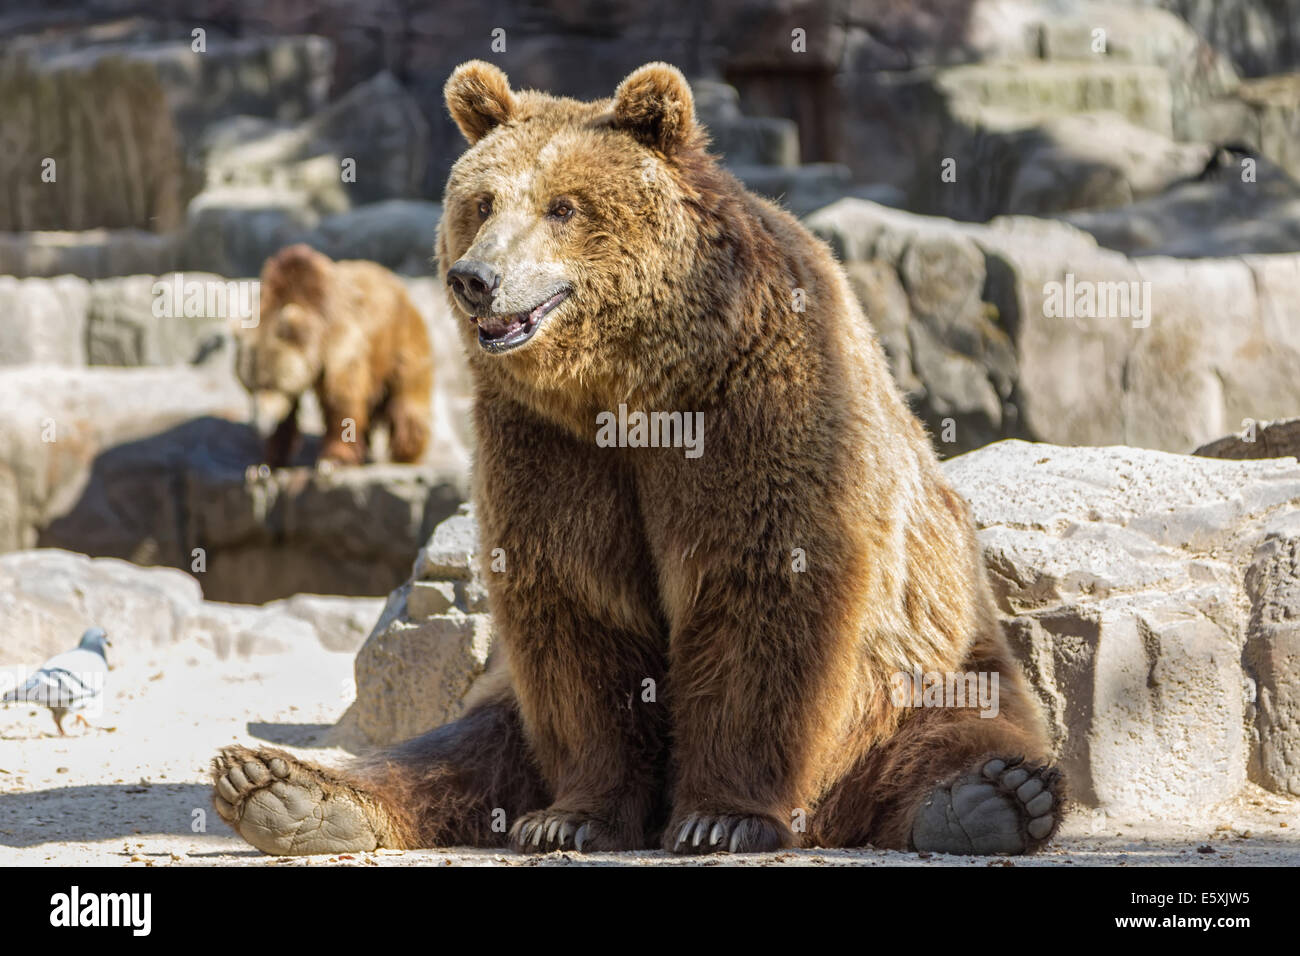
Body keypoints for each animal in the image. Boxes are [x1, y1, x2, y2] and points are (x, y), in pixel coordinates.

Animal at [235, 243, 434, 467]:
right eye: (249, 387)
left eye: (270, 384)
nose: (259, 426)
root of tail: (400, 286)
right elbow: (288, 413)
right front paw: (270, 459)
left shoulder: (338, 337)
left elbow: (342, 397)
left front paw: (334, 457)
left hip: (401, 344)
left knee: (407, 398)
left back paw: (406, 451)